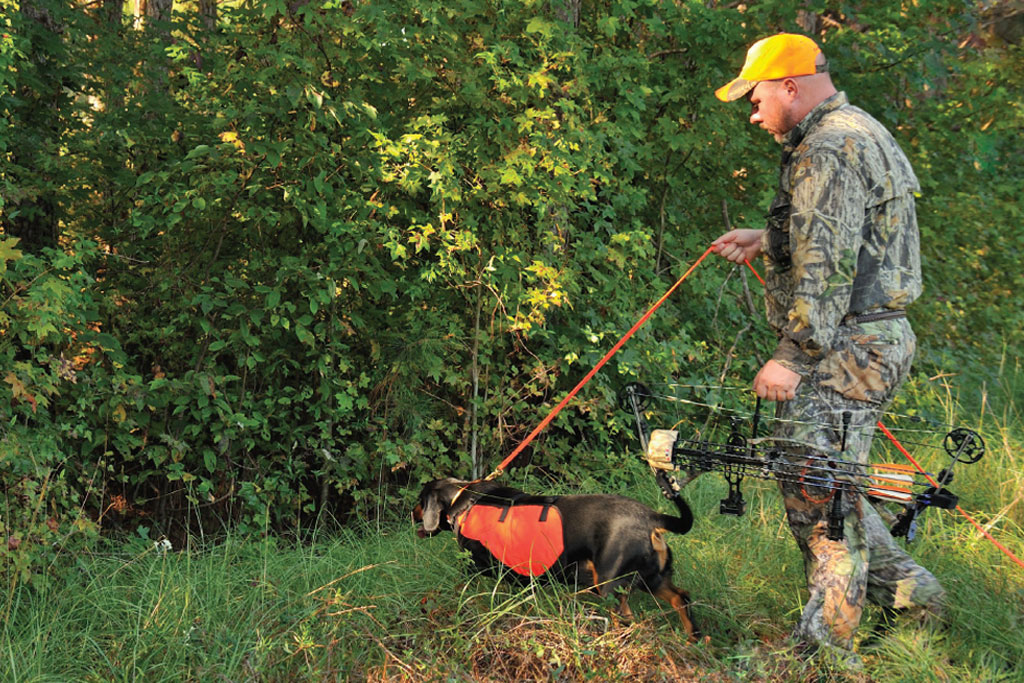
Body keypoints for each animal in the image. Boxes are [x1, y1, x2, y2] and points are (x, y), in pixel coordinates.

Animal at [411, 475, 700, 643]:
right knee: (681, 598)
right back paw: (693, 639)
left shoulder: (477, 568)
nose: (412, 514)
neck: (465, 499)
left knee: (627, 616)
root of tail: (652, 518)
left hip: (609, 584)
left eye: (420, 501)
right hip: (651, 578)